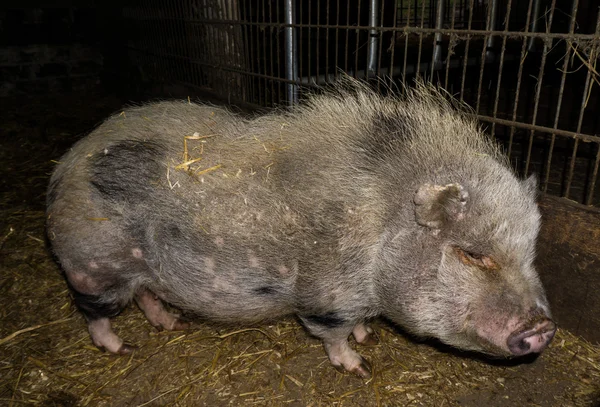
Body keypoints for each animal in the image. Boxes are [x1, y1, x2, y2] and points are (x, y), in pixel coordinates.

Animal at [44, 80, 556, 380]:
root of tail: (67, 163)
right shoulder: (329, 295)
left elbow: (359, 326)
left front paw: (369, 338)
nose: (544, 327)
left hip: (135, 267)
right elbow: (332, 334)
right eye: (472, 253)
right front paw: (360, 366)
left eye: (530, 252)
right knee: (95, 312)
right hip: (94, 262)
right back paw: (122, 349)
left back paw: (171, 324)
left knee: (147, 295)